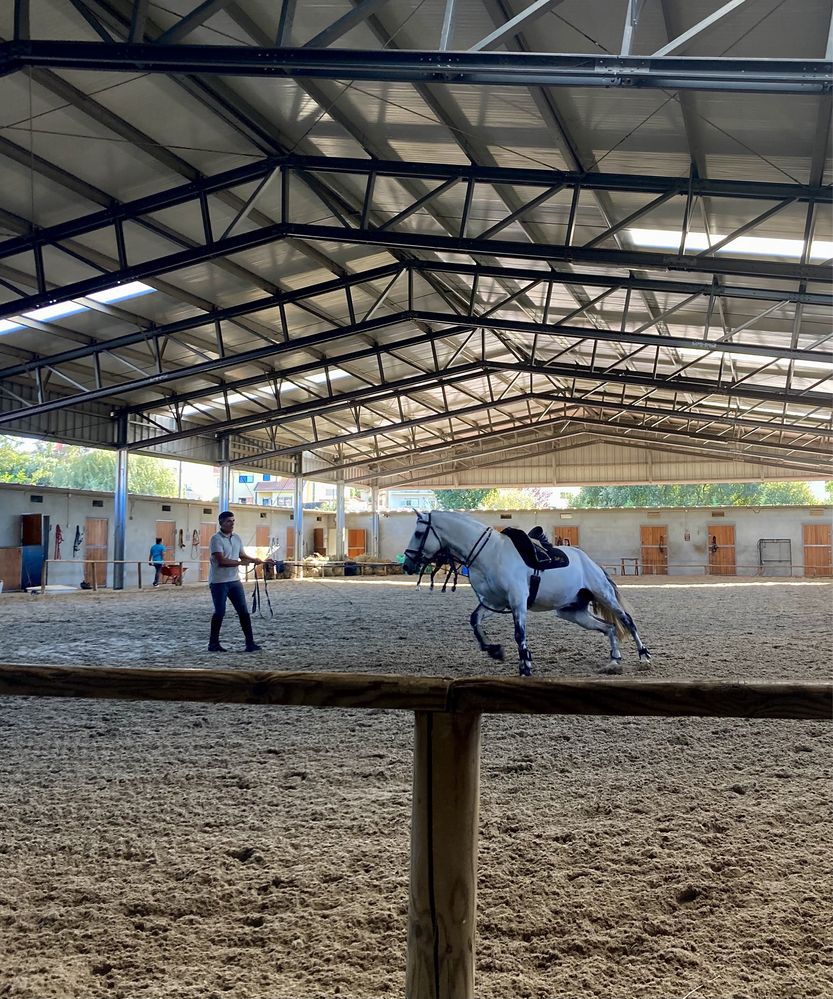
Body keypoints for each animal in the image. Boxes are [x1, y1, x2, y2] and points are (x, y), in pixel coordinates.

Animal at [402, 508, 648, 680]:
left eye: (418, 533)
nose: (407, 564)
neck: (489, 554)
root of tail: (592, 563)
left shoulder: (517, 600)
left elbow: (519, 634)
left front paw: (525, 666)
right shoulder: (495, 602)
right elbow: (475, 620)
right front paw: (495, 651)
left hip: (603, 594)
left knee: (627, 621)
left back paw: (644, 656)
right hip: (572, 612)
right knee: (609, 627)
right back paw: (614, 661)